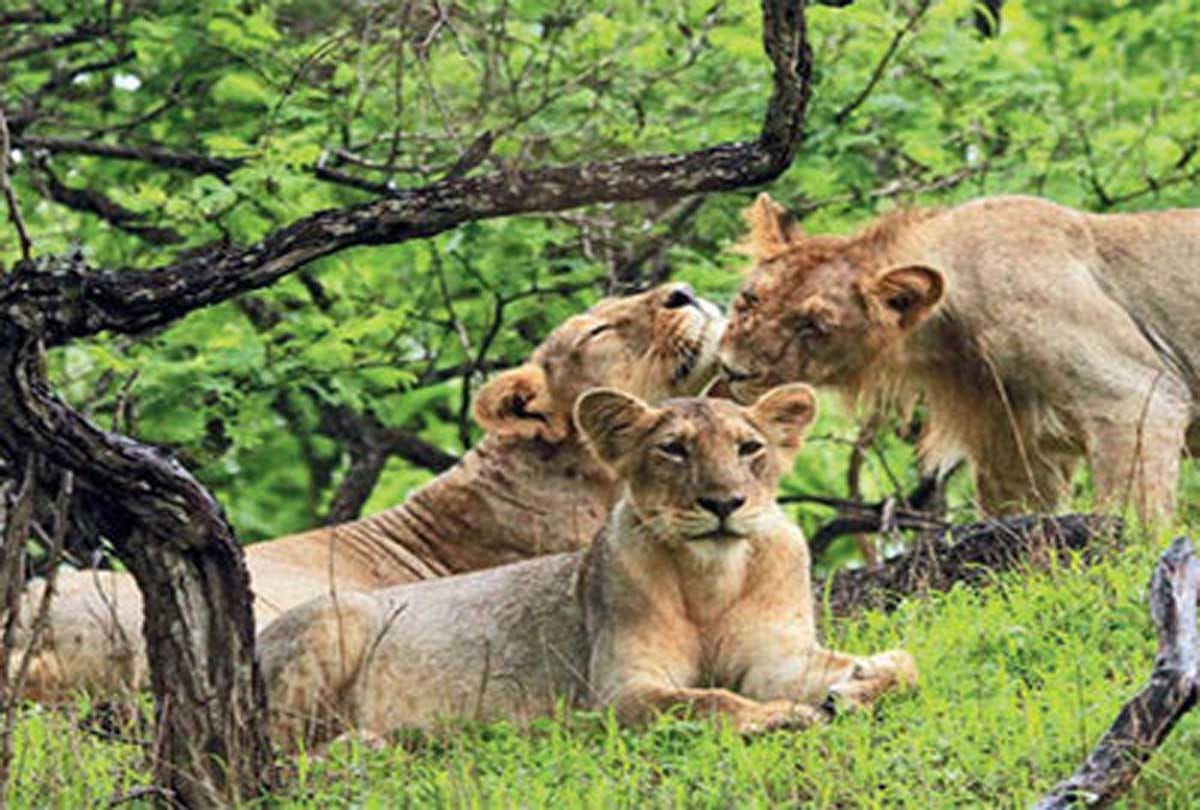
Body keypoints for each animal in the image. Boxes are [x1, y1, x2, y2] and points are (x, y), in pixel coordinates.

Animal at [259, 384, 917, 749]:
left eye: (749, 448)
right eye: (673, 449)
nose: (724, 503)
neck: (711, 577)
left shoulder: (773, 656)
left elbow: (907, 666)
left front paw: (856, 685)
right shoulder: (620, 690)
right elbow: (705, 700)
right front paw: (778, 717)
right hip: (335, 613)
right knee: (276, 764)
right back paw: (363, 748)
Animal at [718, 193, 1200, 520]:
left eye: (813, 325)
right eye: (750, 299)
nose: (733, 369)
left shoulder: (1133, 397)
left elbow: (1134, 516)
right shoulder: (1015, 449)